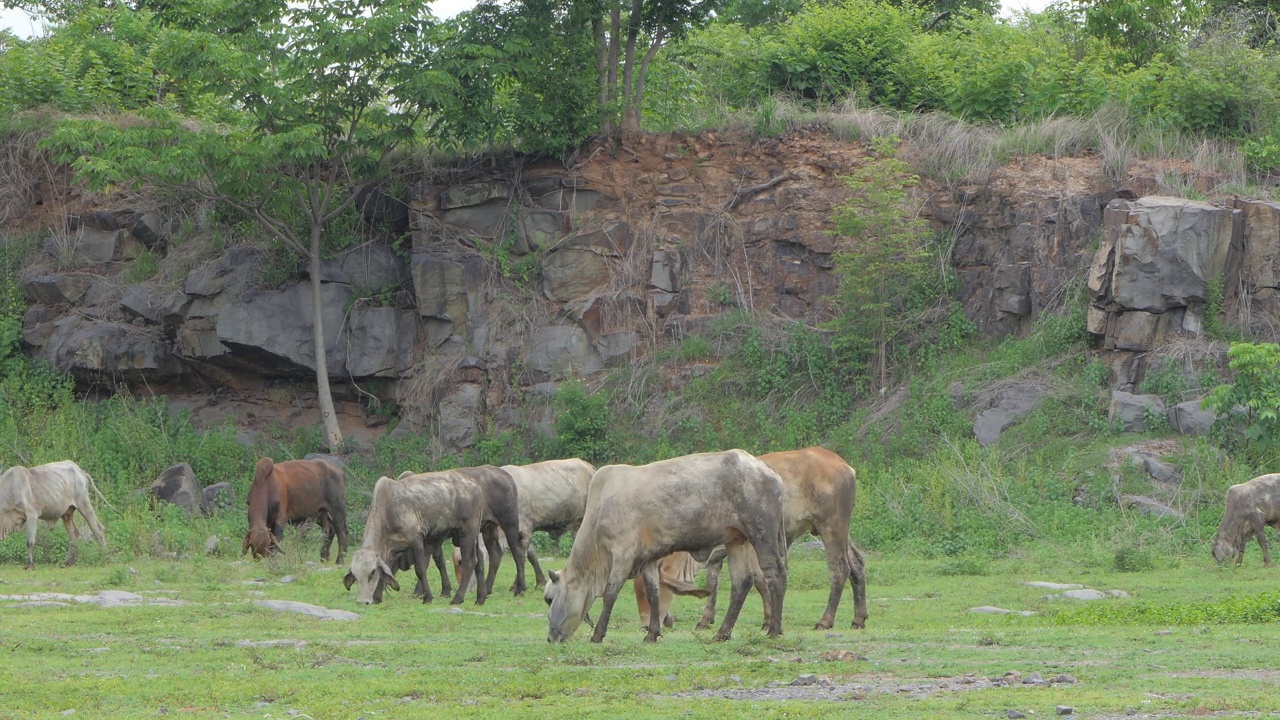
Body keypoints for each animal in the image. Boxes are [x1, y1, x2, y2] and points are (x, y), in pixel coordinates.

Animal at [542, 450, 783, 640]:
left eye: (548, 599)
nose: (551, 638)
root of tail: (769, 472)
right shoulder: (647, 559)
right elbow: (653, 593)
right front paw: (652, 633)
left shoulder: (623, 555)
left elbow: (611, 593)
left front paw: (598, 635)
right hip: (735, 541)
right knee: (741, 583)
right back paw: (722, 633)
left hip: (762, 535)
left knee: (775, 574)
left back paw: (774, 629)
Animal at [701, 443, 870, 627]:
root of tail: (839, 461)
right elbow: (712, 582)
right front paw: (705, 619)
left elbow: (760, 580)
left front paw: (769, 619)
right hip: (842, 532)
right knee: (857, 563)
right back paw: (858, 618)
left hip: (831, 527)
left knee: (839, 569)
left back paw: (825, 620)